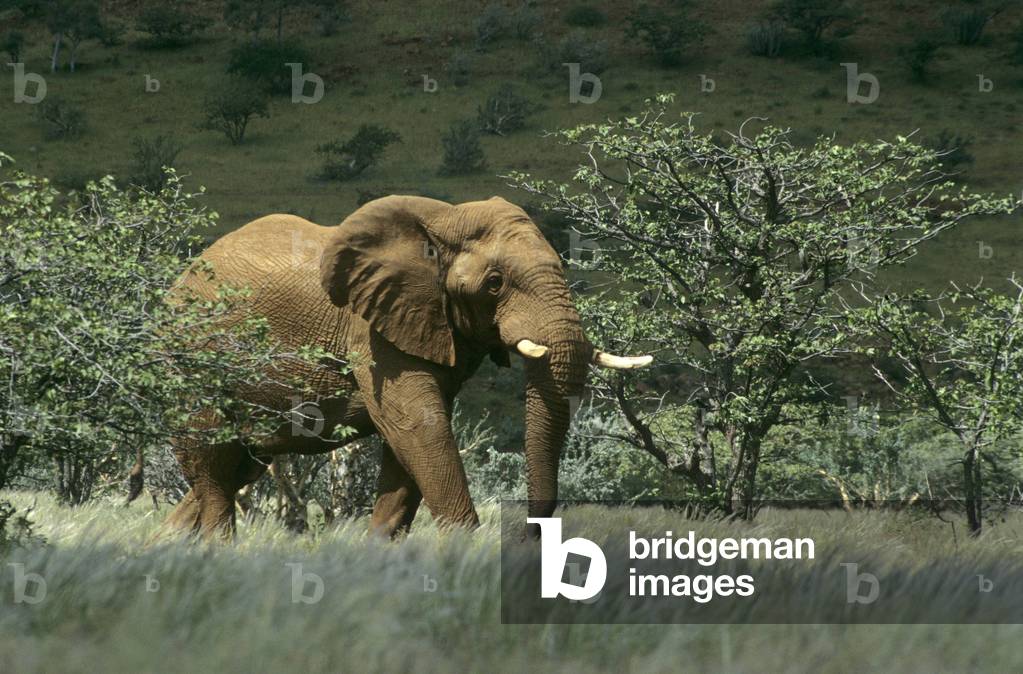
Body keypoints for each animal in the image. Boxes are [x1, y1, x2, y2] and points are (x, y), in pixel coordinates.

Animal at [163, 195, 652, 539]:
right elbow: (419, 426)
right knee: (212, 469)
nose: (530, 535)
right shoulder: (372, 331)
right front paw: (466, 555)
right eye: (494, 283)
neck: (443, 221)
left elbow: (409, 446)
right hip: (193, 361)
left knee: (236, 470)